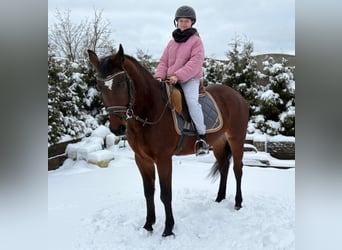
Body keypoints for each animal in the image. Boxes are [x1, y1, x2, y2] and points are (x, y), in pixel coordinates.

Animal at [87, 44, 248, 236]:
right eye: (99, 86)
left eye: (121, 83)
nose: (116, 128)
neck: (150, 111)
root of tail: (237, 95)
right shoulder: (142, 160)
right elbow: (148, 192)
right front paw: (148, 225)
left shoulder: (163, 159)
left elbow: (165, 194)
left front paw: (168, 229)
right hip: (217, 142)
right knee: (224, 167)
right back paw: (219, 198)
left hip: (236, 139)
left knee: (238, 170)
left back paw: (238, 203)